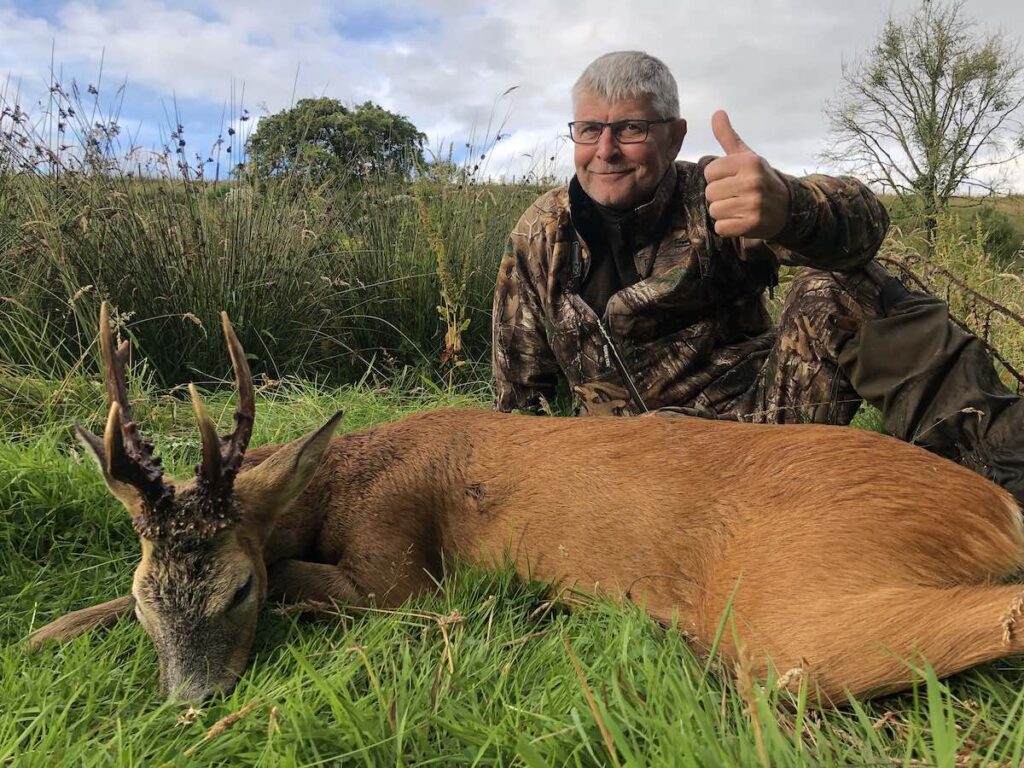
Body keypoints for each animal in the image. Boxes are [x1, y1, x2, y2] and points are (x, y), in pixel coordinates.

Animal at [28, 303, 1024, 704]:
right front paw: (43, 633)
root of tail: (993, 511)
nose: (191, 702)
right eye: (151, 593)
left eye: (236, 590)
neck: (348, 475)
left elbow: (306, 578)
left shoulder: (399, 572)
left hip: (797, 612)